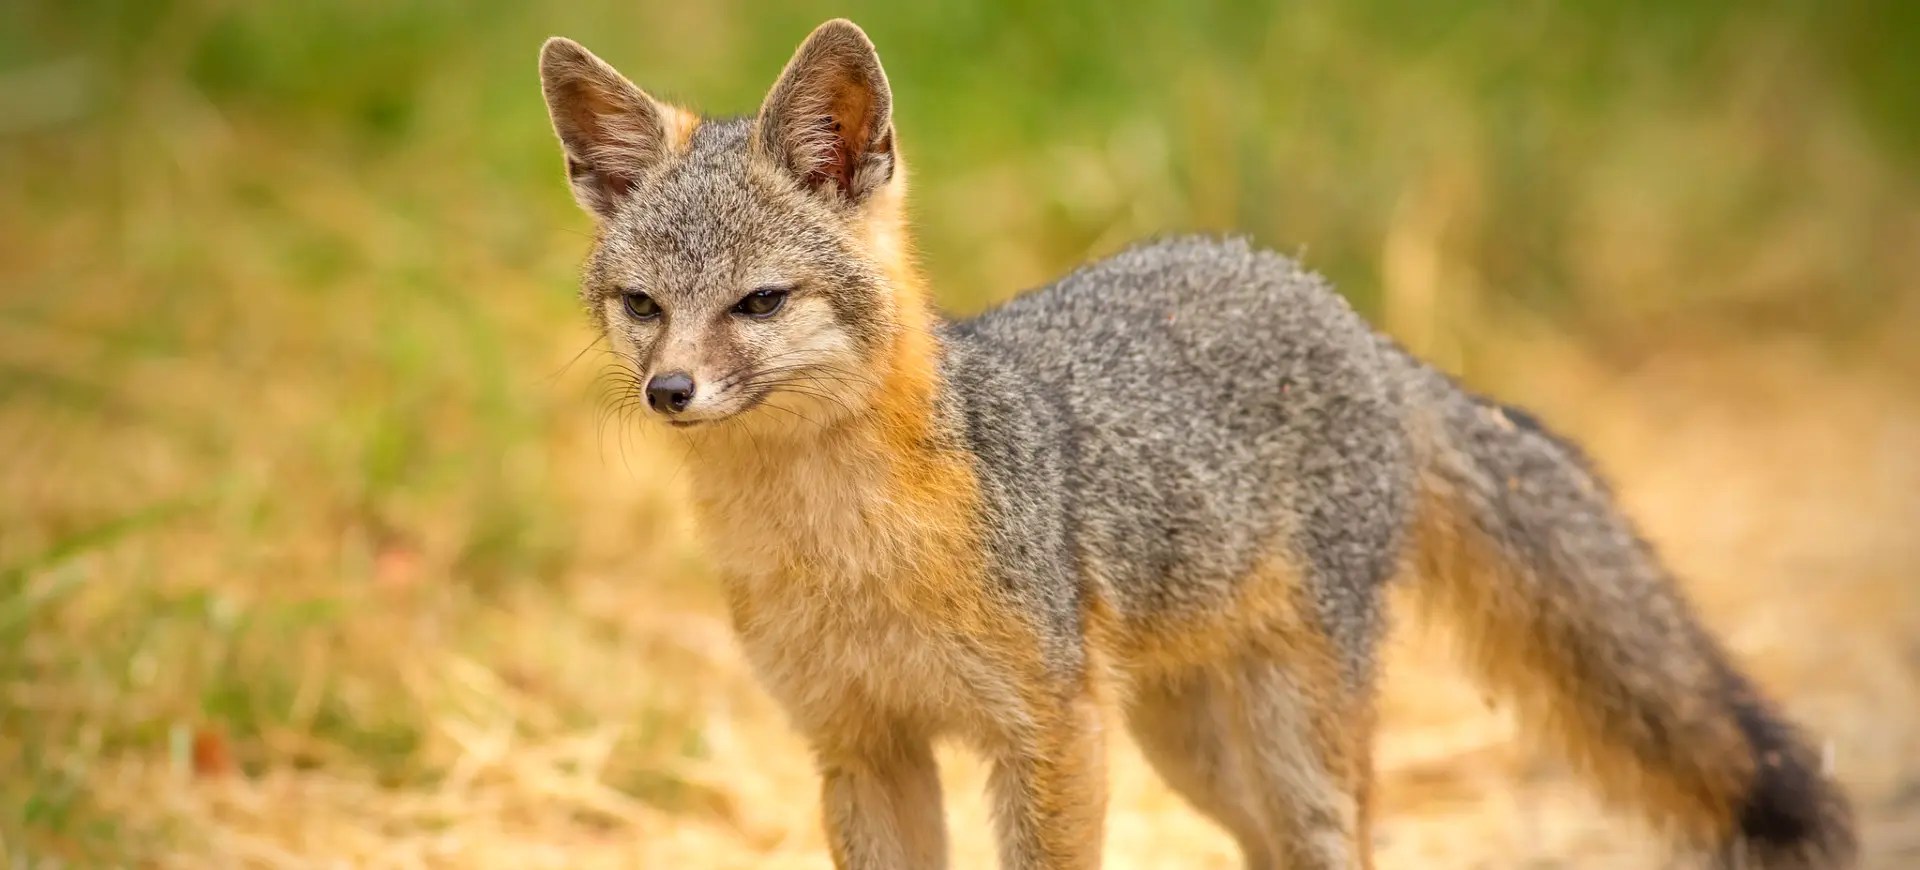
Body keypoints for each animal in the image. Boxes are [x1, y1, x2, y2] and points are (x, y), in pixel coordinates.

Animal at [537, 18, 1857, 870]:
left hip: (1288, 738)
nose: (669, 390)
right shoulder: (865, 745)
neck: (845, 546)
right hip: (1191, 747)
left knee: (1344, 846)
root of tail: (1341, 312)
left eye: (759, 303)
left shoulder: (1048, 733)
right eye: (642, 305)